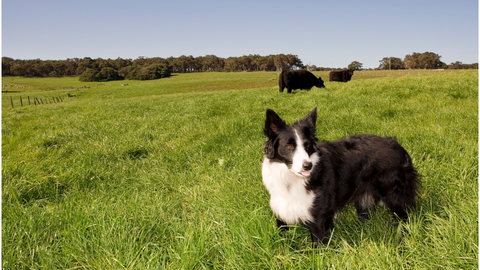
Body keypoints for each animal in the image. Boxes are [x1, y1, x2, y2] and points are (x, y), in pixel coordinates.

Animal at [260, 107, 418, 245]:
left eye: (307, 146)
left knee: (404, 216)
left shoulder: (317, 220)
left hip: (392, 195)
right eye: (288, 146)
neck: (291, 179)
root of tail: (396, 144)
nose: (308, 166)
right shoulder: (281, 213)